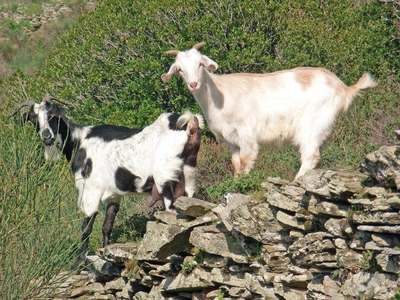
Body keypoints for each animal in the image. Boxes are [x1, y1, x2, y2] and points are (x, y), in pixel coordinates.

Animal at [14, 95, 205, 268]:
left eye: (53, 115)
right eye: (33, 118)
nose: (47, 136)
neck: (79, 141)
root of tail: (189, 122)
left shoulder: (90, 190)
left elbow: (86, 227)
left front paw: (79, 262)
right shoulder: (114, 196)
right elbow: (107, 225)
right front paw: (106, 255)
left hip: (165, 177)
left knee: (172, 213)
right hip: (189, 172)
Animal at [162, 41, 378, 179]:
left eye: (200, 64)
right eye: (179, 69)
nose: (193, 84)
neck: (219, 95)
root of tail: (343, 87)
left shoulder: (246, 134)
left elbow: (246, 160)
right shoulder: (231, 139)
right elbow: (235, 164)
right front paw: (235, 182)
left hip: (311, 124)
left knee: (310, 155)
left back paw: (295, 181)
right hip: (323, 128)